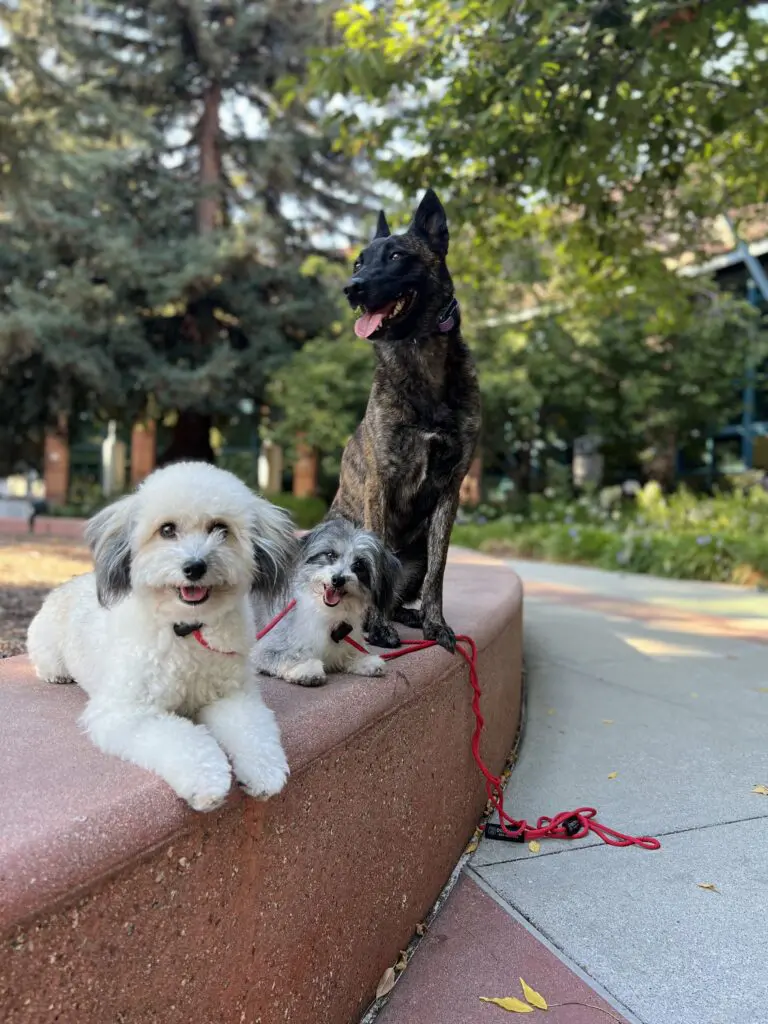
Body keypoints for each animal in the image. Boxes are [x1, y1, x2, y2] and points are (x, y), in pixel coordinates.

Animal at [27, 462, 296, 806]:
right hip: (46, 647)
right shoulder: (129, 711)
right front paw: (207, 781)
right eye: (167, 530)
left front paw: (264, 771)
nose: (195, 566)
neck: (185, 629)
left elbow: (253, 730)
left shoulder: (233, 697)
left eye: (220, 528)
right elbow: (182, 738)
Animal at [253, 520, 403, 688]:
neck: (326, 612)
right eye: (331, 555)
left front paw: (365, 660)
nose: (338, 579)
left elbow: (350, 654)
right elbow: (288, 656)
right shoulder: (266, 648)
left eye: (359, 565)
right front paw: (306, 668)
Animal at [331, 189, 481, 651]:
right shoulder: (381, 481)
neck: (421, 360)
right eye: (357, 263)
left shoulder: (451, 489)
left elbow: (438, 571)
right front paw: (377, 627)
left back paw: (409, 615)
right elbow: (374, 558)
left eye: (397, 255)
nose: (352, 289)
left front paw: (436, 624)